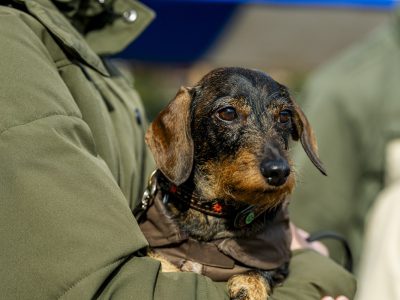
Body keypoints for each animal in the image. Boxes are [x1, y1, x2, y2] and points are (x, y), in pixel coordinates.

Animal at [138, 67, 324, 298]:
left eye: (284, 115)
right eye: (228, 113)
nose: (279, 171)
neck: (215, 210)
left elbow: (261, 271)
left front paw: (249, 286)